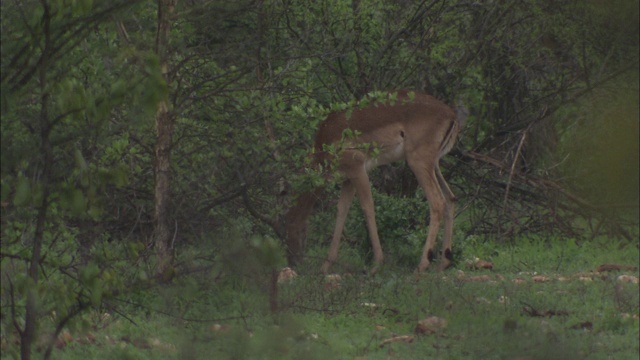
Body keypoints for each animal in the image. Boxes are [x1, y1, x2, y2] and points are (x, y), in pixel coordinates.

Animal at [284, 90, 464, 272]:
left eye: (289, 229)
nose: (293, 263)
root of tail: (451, 115)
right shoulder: (348, 180)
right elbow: (342, 210)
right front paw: (326, 266)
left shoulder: (358, 171)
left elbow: (367, 207)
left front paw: (377, 263)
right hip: (434, 164)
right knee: (450, 198)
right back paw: (443, 263)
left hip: (418, 162)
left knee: (437, 202)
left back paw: (421, 266)